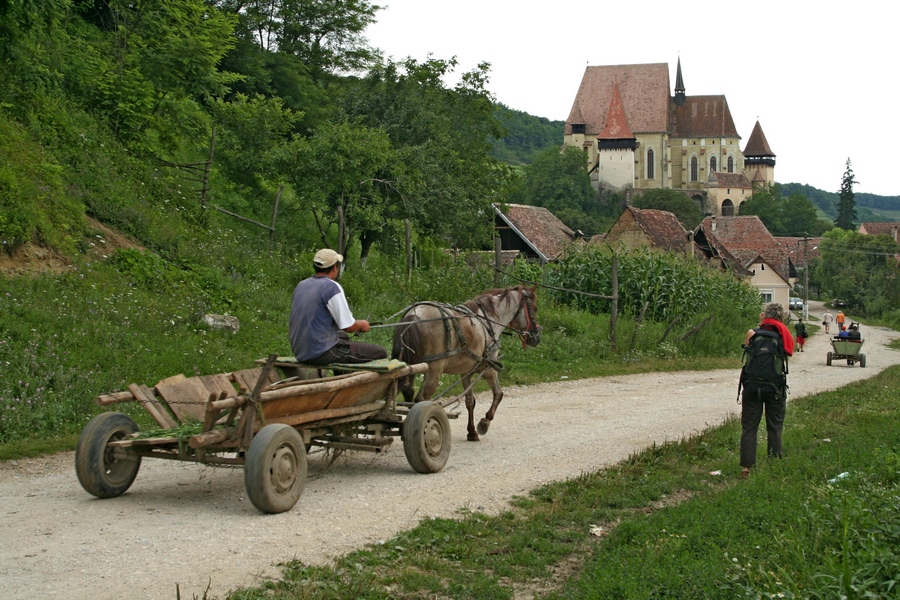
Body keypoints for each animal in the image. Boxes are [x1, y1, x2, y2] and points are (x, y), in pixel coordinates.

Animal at [388, 286, 540, 440]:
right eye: (535, 308)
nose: (536, 337)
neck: (488, 322)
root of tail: (415, 315)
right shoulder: (489, 369)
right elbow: (498, 393)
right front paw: (484, 422)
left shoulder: (466, 372)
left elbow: (470, 401)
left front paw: (472, 431)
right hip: (433, 371)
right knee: (421, 400)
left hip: (411, 367)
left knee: (408, 392)